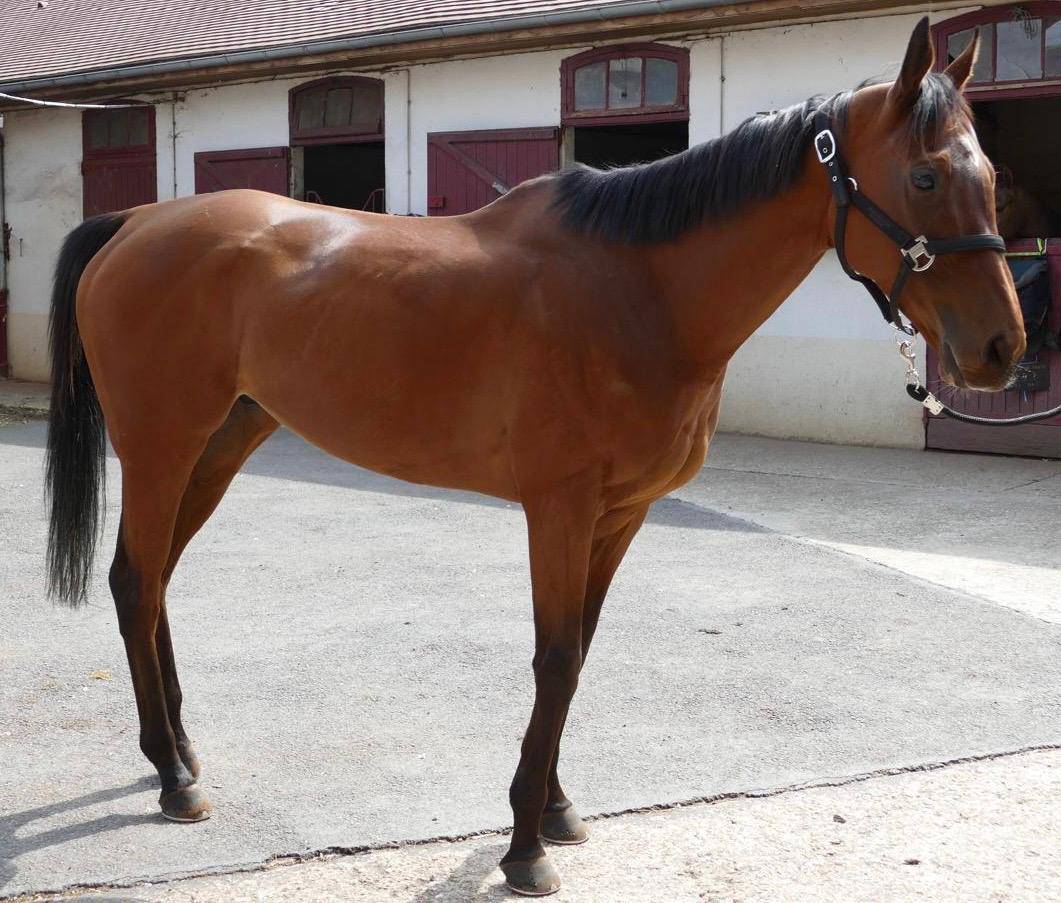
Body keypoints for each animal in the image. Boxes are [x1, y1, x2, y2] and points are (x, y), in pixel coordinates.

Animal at [44, 19, 1022, 896]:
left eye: (989, 176)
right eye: (925, 175)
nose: (1001, 349)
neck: (639, 291)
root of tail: (135, 222)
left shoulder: (621, 513)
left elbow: (579, 651)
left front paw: (555, 808)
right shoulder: (559, 506)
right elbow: (554, 659)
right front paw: (523, 847)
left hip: (223, 441)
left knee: (157, 581)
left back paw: (181, 752)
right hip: (161, 444)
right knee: (135, 580)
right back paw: (172, 779)